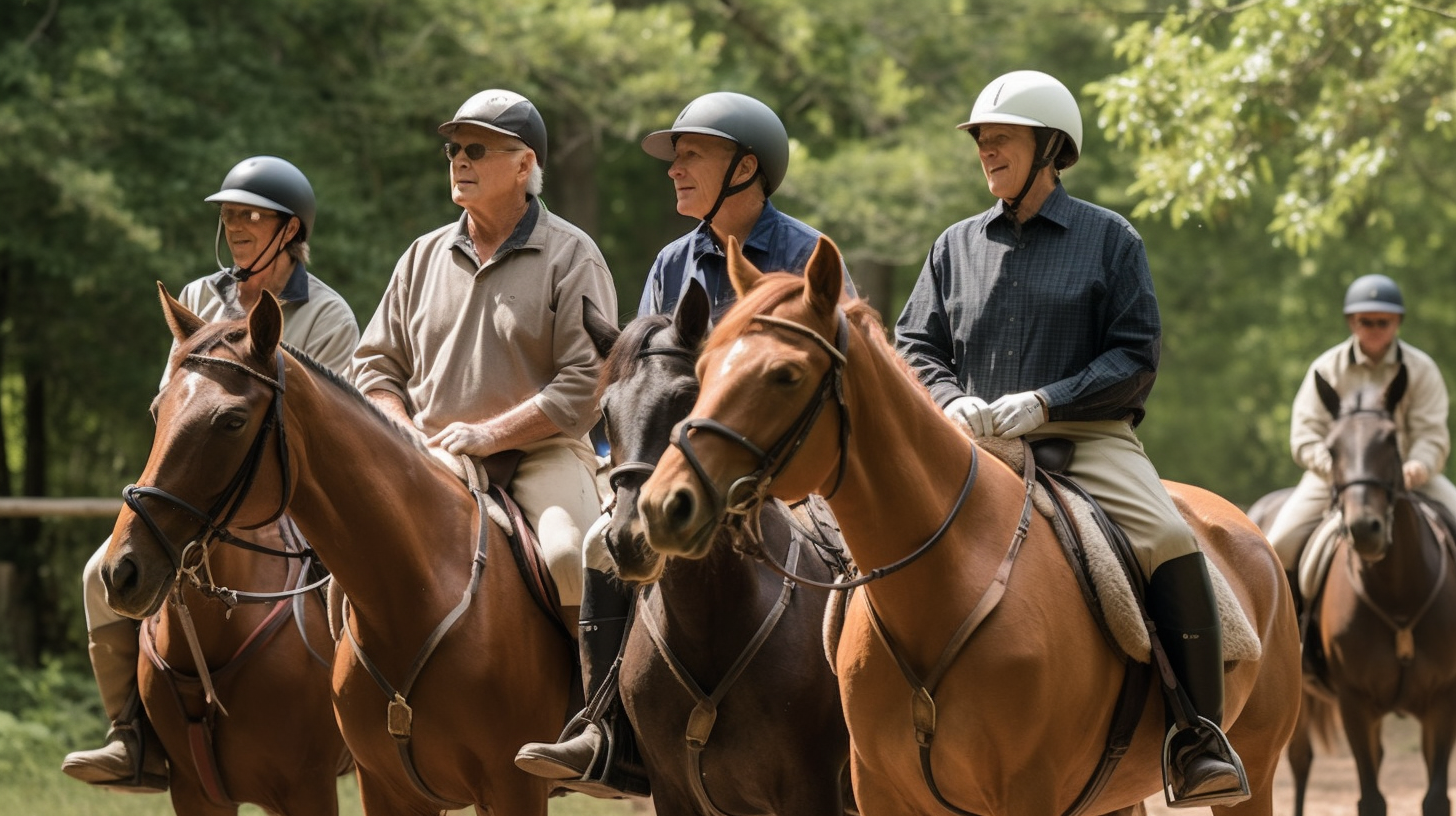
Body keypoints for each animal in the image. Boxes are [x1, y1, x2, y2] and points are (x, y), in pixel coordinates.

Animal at [96, 284, 570, 810]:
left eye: (232, 421)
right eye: (158, 411)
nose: (122, 570)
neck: (417, 592)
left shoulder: (506, 788)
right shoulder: (202, 793)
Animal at [582, 282, 850, 816]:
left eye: (688, 397)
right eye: (605, 411)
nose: (630, 538)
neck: (709, 624)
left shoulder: (811, 791)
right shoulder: (672, 792)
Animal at [634, 237, 1298, 816]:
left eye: (785, 375)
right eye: (704, 368)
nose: (665, 505)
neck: (942, 586)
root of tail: (1250, 533)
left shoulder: (1028, 796)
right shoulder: (884, 795)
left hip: (1254, 778)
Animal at [1246, 370, 1456, 816]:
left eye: (1391, 440)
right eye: (1331, 448)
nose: (1364, 528)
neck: (1399, 598)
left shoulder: (1443, 701)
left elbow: (1435, 797)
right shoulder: (1354, 703)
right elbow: (1371, 799)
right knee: (1299, 761)